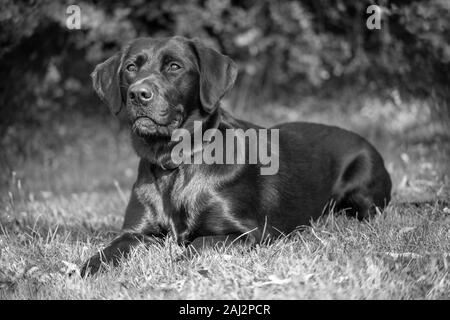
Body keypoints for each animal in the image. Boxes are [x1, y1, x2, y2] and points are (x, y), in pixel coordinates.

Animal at [80, 37, 390, 276]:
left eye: (174, 67)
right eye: (131, 67)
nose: (138, 93)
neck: (177, 163)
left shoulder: (248, 233)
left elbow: (196, 245)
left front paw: (173, 266)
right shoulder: (134, 233)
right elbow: (106, 252)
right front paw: (83, 271)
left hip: (364, 193)